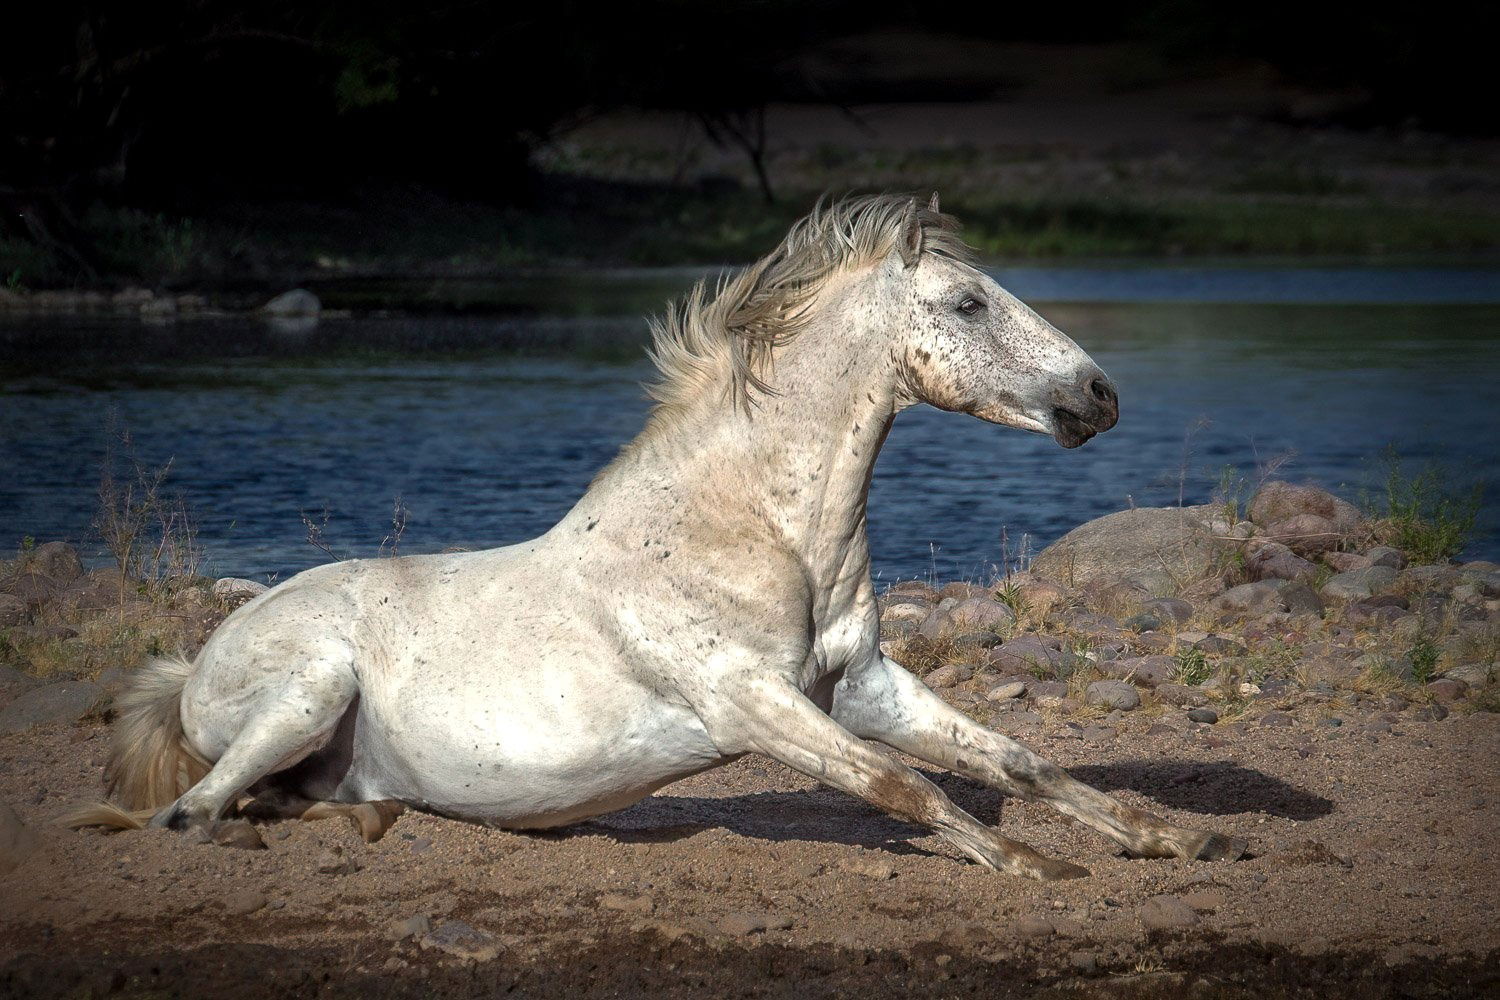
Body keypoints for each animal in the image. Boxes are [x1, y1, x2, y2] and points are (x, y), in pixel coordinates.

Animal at [73, 193, 1242, 875]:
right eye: (965, 304)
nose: (1099, 396)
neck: (747, 534)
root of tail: (189, 668)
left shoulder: (862, 687)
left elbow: (1018, 762)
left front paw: (1173, 836)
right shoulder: (749, 701)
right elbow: (895, 784)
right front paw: (1037, 868)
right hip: (310, 688)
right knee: (195, 815)